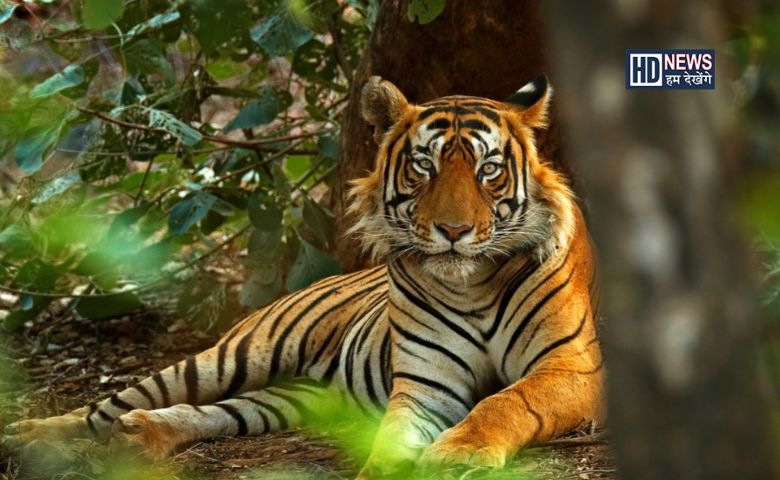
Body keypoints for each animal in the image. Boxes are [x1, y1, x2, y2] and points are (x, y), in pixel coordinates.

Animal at [3, 74, 604, 478]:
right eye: (424, 166)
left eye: (488, 170)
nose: (452, 230)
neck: (471, 282)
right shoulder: (425, 385)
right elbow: (395, 436)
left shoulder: (572, 366)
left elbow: (506, 400)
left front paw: (461, 452)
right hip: (234, 355)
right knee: (111, 403)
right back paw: (31, 435)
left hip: (292, 396)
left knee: (217, 413)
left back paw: (141, 435)